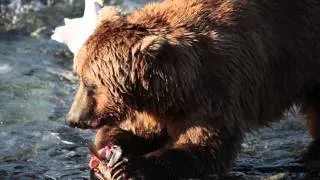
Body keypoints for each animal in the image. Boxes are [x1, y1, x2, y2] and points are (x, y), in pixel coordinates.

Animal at [66, 0, 320, 179]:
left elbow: (204, 147)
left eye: (91, 84)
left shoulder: (215, 92)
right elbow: (136, 130)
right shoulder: (154, 108)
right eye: (79, 75)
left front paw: (129, 167)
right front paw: (105, 150)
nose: (73, 119)